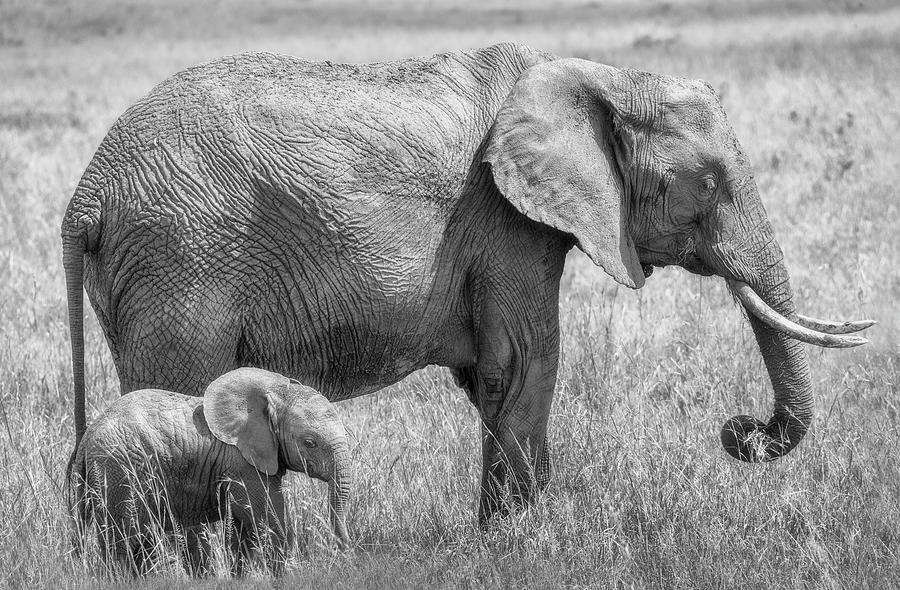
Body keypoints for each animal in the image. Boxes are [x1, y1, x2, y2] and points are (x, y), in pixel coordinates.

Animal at [61, 42, 872, 524]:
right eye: (708, 184)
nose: (740, 429)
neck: (602, 76)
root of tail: (88, 196)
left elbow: (493, 376)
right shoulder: (505, 222)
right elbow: (523, 366)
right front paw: (522, 542)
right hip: (179, 259)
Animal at [68, 370, 350, 580]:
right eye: (310, 442)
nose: (346, 554)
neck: (275, 390)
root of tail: (86, 439)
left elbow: (240, 530)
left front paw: (240, 579)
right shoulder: (241, 463)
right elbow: (271, 520)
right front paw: (283, 579)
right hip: (118, 473)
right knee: (124, 538)